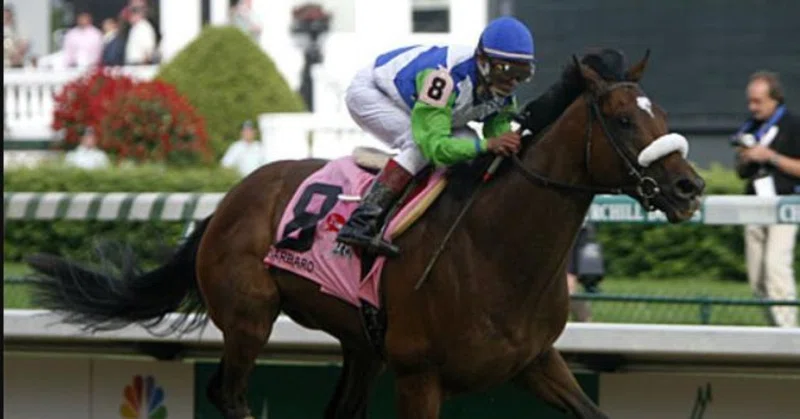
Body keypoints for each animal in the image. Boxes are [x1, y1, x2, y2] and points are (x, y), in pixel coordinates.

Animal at [26, 50, 705, 419]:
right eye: (623, 120)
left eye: (664, 115)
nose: (689, 187)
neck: (496, 250)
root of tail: (226, 203)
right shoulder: (420, 378)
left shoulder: (536, 362)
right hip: (249, 319)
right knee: (229, 393)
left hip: (361, 344)